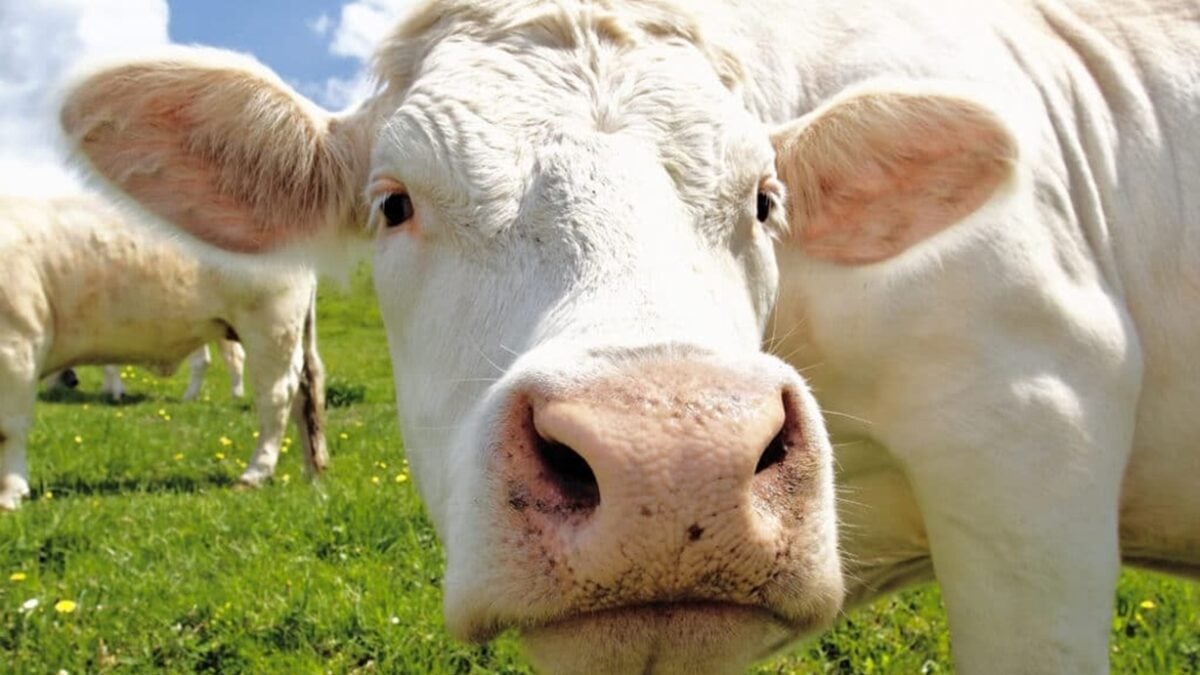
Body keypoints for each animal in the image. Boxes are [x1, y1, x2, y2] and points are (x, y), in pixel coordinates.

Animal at [46, 340, 246, 402]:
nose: (73, 382)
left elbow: (110, 367)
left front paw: (117, 394)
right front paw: (107, 389)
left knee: (202, 362)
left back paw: (188, 397)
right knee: (236, 357)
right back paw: (236, 394)